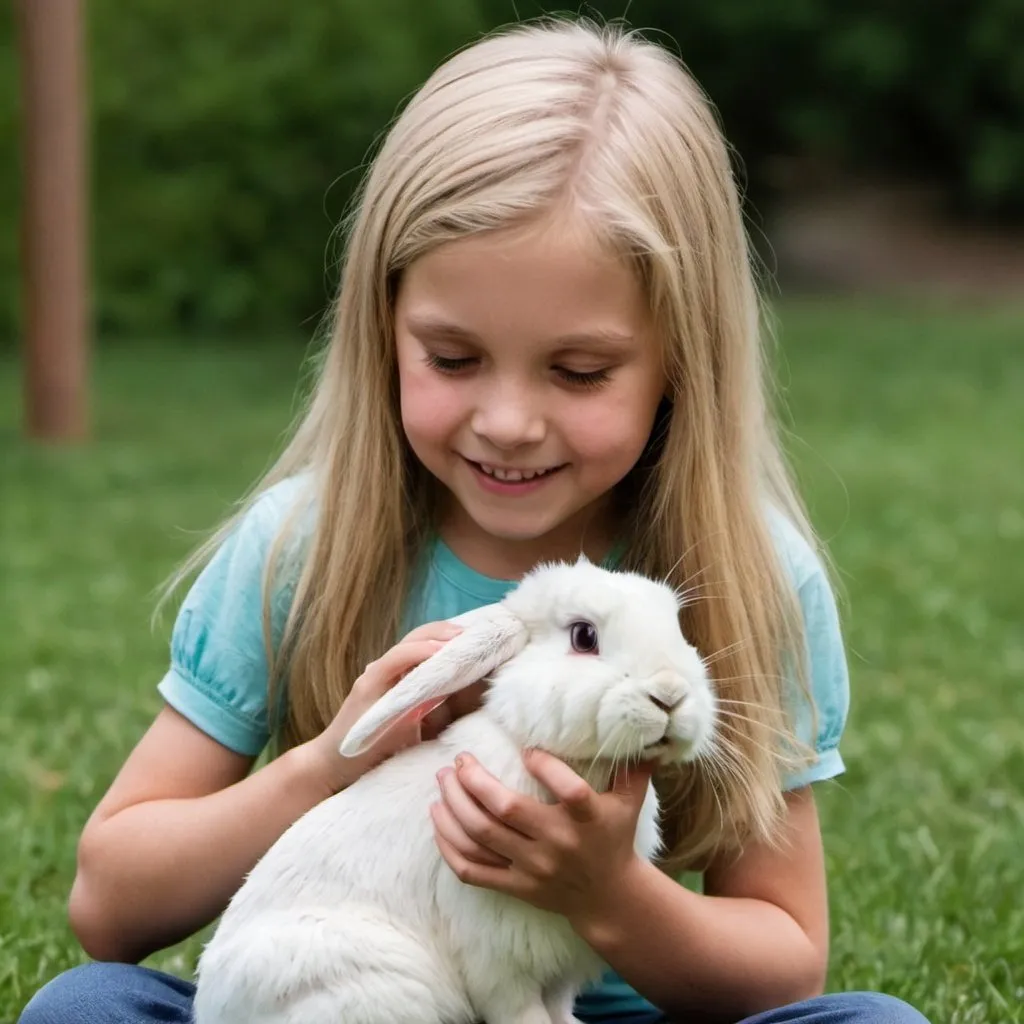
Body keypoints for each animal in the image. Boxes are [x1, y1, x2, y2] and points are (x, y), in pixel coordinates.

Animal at [193, 561, 720, 1024]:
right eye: (583, 636)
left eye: (676, 627)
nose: (671, 695)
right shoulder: (499, 960)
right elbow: (523, 1013)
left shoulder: (560, 964)